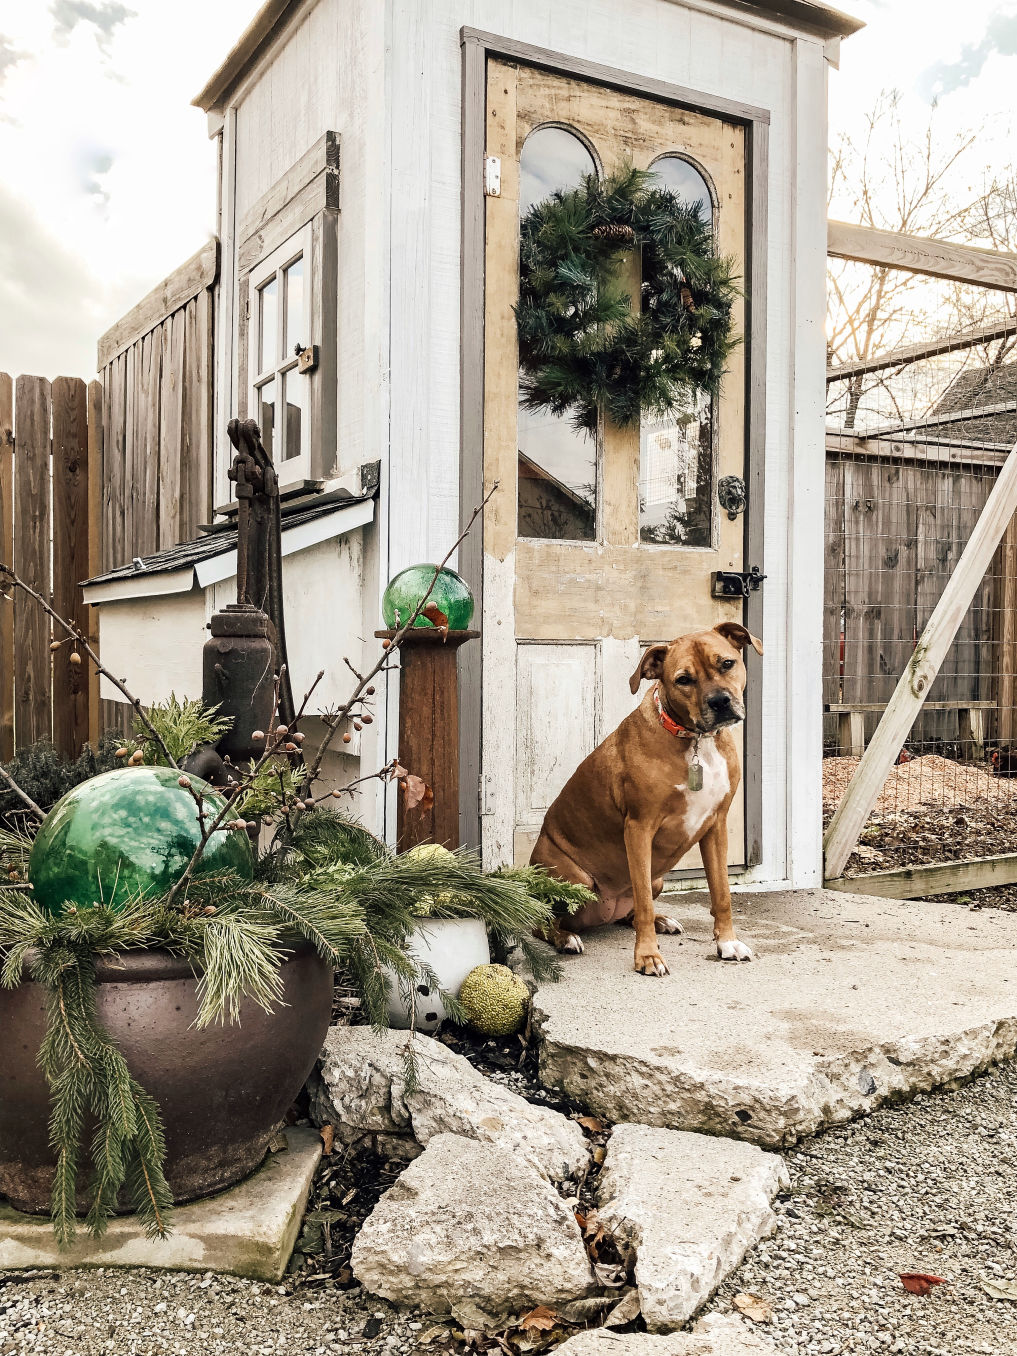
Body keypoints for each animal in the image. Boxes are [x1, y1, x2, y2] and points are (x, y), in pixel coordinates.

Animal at [534, 623, 764, 976]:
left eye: (727, 663)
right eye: (683, 679)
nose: (720, 701)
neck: (696, 741)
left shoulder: (716, 827)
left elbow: (721, 892)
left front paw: (727, 943)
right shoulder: (639, 829)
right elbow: (642, 901)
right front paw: (647, 956)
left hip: (657, 878)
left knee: (632, 911)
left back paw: (661, 920)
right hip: (577, 880)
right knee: (541, 920)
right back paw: (565, 938)